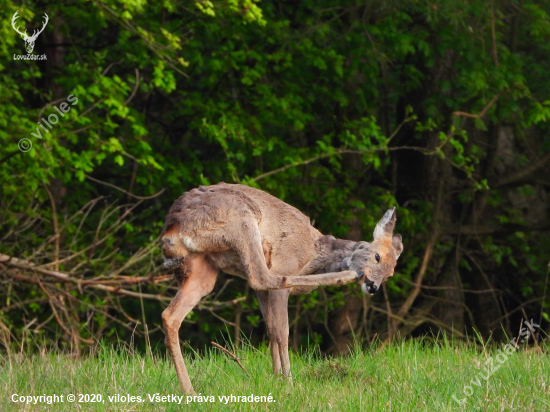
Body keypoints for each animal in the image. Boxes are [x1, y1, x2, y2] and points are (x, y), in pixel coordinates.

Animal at [162, 183, 404, 392]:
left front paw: (276, 377)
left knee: (170, 315)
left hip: (203, 268)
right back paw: (345, 275)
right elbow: (282, 330)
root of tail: (171, 228)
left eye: (391, 273)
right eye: (377, 256)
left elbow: (270, 327)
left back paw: (189, 391)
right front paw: (288, 381)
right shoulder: (285, 261)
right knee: (263, 276)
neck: (313, 252)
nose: (373, 286)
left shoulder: (261, 293)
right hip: (242, 221)